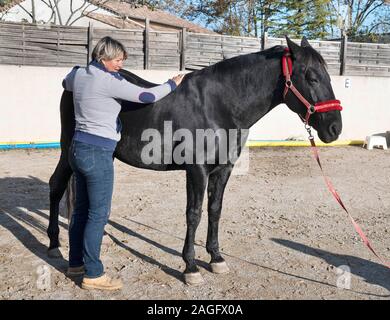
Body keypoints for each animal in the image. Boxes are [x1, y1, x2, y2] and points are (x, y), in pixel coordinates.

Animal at [48, 37, 342, 284]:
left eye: (328, 76)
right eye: (312, 77)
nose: (334, 128)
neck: (219, 105)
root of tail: (73, 78)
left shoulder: (223, 169)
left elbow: (214, 210)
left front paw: (216, 258)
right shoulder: (197, 169)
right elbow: (194, 213)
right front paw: (190, 267)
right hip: (66, 151)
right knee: (57, 185)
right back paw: (54, 245)